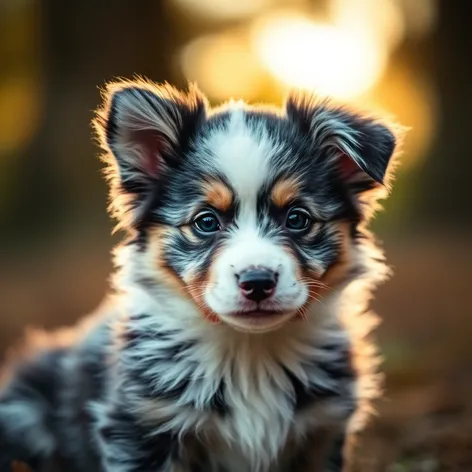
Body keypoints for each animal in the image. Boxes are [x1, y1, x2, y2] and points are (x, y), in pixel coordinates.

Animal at [0, 79, 400, 470]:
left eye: (297, 218)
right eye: (206, 221)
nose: (257, 282)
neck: (249, 353)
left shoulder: (322, 430)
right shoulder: (141, 426)